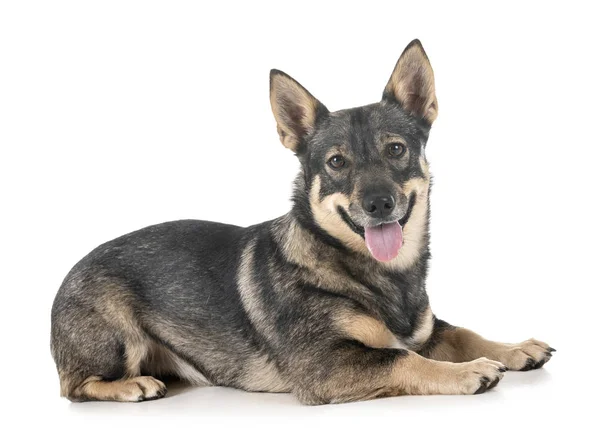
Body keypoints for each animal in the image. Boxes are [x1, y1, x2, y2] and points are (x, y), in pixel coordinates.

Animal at [50, 40, 552, 404]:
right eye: (336, 162)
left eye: (396, 149)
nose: (379, 203)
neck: (376, 273)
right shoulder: (325, 365)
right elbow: (402, 361)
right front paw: (469, 371)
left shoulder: (425, 331)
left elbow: (463, 332)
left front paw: (515, 349)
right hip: (118, 341)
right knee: (75, 387)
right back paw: (133, 385)